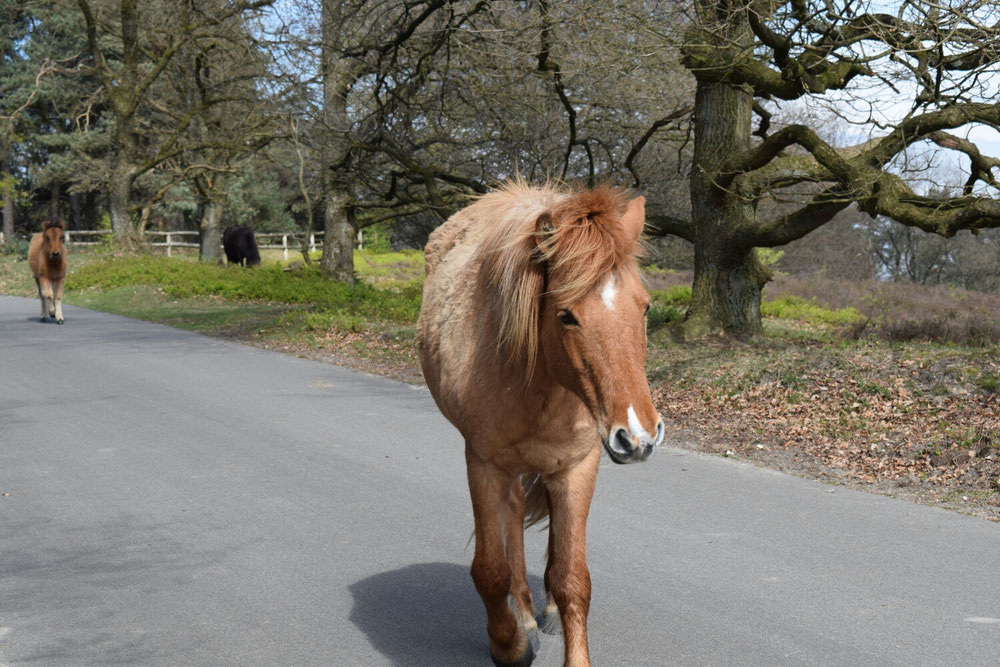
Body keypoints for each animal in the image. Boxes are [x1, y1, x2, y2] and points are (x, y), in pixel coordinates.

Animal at [418, 182, 664, 666]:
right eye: (566, 315)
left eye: (645, 308)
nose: (638, 436)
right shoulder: (483, 464)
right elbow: (490, 570)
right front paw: (510, 644)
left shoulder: (577, 467)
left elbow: (573, 579)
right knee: (512, 513)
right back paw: (525, 614)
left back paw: (543, 610)